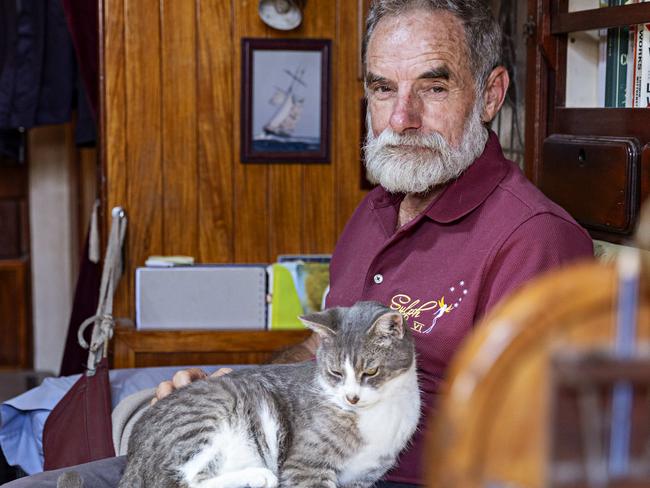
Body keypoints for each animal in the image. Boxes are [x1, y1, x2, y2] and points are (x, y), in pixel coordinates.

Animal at [118, 302, 418, 488]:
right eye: (335, 372)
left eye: (370, 371)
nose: (351, 398)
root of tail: (133, 456)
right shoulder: (304, 466)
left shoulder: (362, 478)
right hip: (207, 416)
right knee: (181, 481)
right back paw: (258, 475)